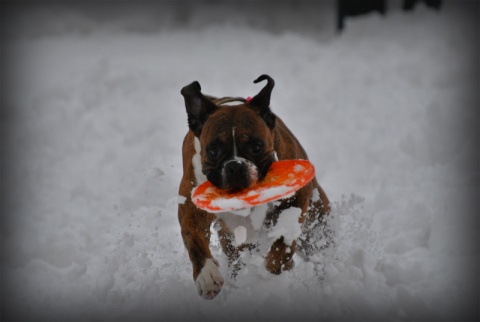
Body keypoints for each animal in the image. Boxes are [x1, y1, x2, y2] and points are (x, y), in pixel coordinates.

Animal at [177, 75, 330, 300]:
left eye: (256, 147)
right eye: (213, 150)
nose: (235, 166)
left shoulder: (297, 199)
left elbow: (282, 242)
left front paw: (274, 268)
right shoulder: (191, 209)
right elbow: (195, 242)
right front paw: (207, 277)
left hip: (316, 228)